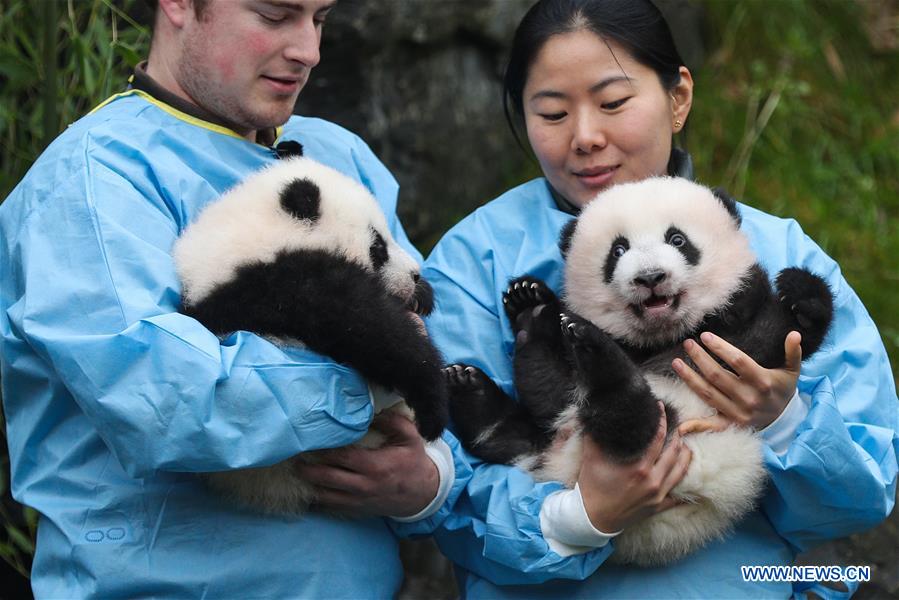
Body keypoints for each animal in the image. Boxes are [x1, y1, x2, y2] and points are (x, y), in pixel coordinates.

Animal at [173, 156, 448, 515]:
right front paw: (431, 397)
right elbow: (365, 326)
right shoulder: (277, 285)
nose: (415, 274)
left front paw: (421, 296)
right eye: (377, 247)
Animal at [446, 177, 834, 566]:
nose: (650, 277)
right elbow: (549, 387)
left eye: (677, 240)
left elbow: (784, 333)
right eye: (618, 250)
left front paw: (800, 291)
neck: (663, 338)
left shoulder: (733, 327)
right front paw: (531, 300)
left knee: (631, 424)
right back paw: (510, 356)